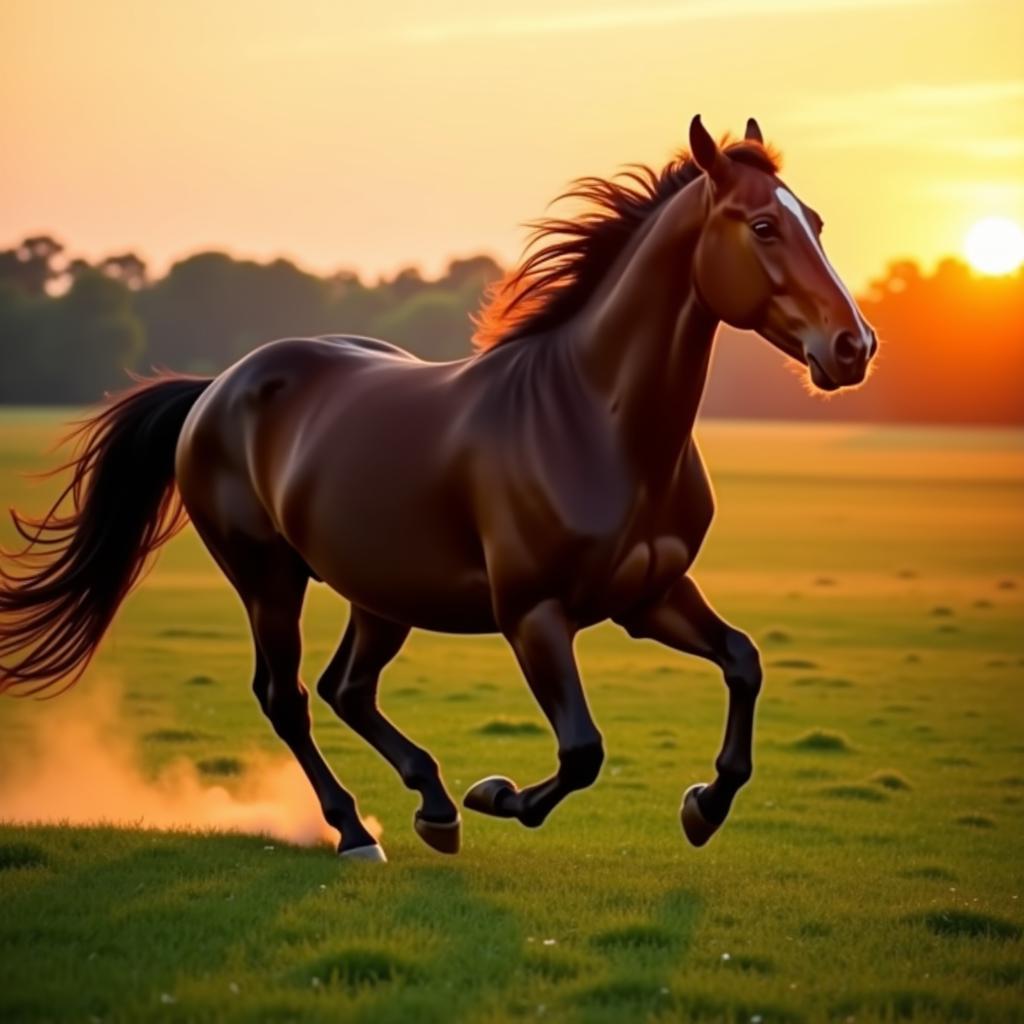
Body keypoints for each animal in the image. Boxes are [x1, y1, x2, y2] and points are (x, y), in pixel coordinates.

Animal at [2, 116, 880, 860]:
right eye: (762, 226)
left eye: (817, 222)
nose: (854, 346)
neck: (594, 421)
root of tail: (217, 387)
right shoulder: (534, 615)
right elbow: (583, 751)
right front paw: (498, 794)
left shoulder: (651, 596)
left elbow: (743, 662)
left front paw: (703, 806)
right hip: (268, 577)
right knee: (287, 695)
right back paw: (358, 831)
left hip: (380, 592)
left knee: (347, 688)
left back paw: (432, 806)